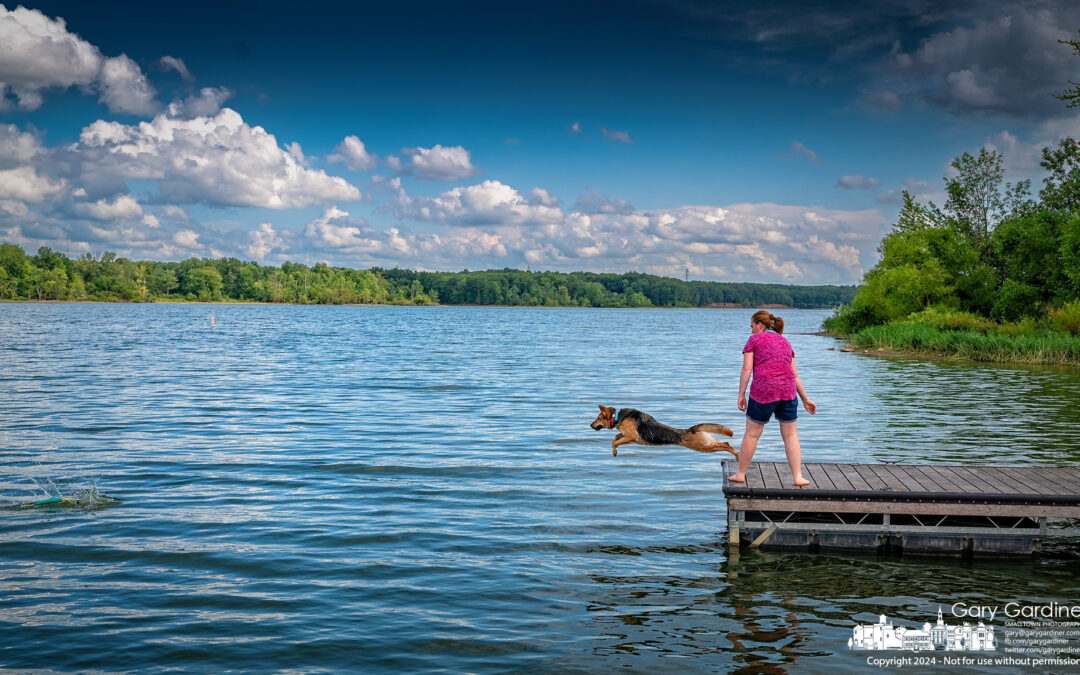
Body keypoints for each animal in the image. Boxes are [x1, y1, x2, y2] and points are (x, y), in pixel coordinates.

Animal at [587, 406, 738, 457]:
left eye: (598, 418)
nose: (590, 425)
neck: (617, 416)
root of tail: (691, 429)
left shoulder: (632, 437)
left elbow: (615, 442)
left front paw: (614, 451)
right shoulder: (625, 435)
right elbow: (615, 437)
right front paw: (614, 450)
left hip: (703, 446)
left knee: (725, 444)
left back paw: (736, 454)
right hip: (707, 443)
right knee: (724, 442)